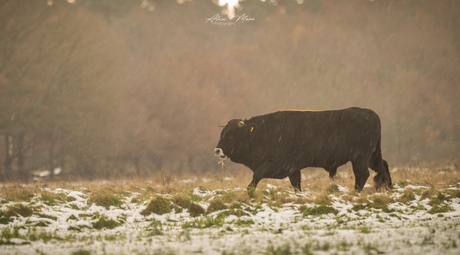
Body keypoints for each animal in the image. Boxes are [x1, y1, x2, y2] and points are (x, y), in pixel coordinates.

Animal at [216, 107, 392, 191]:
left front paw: (249, 191)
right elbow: (296, 185)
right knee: (383, 167)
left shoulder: (280, 166)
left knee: (363, 175)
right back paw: (387, 189)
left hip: (360, 158)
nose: (217, 150)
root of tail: (371, 113)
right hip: (371, 156)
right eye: (222, 133)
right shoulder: (293, 169)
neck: (261, 132)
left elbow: (257, 174)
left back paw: (356, 192)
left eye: (231, 135)